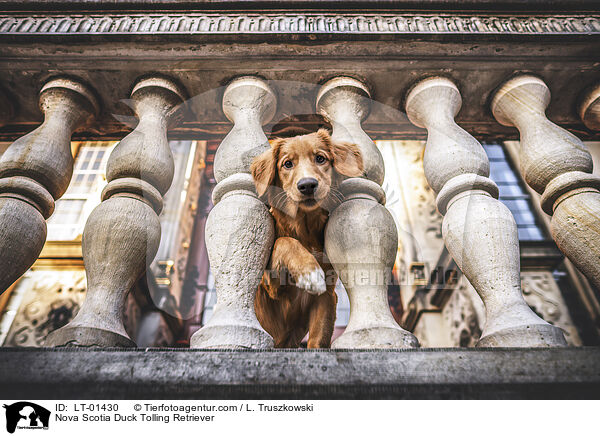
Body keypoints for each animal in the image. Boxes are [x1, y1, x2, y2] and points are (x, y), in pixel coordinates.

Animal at [251, 129, 364, 348]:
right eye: (287, 164)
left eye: (320, 158)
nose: (307, 185)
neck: (305, 228)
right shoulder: (271, 287)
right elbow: (284, 242)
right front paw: (309, 273)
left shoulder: (327, 297)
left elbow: (318, 338)